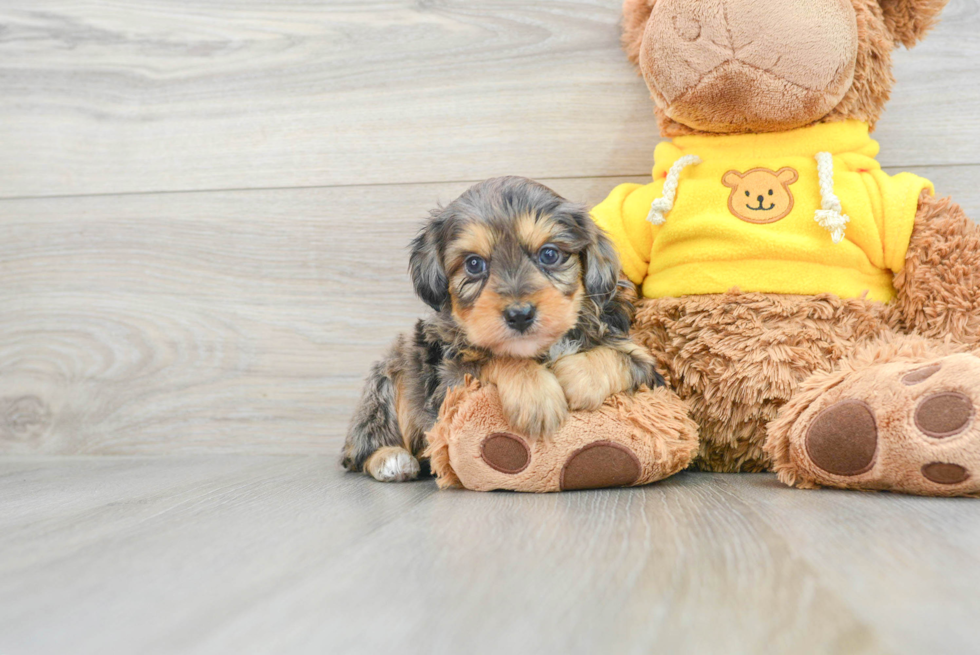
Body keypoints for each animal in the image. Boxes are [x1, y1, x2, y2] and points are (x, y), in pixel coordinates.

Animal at [340, 178, 664, 482]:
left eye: (549, 255)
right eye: (473, 264)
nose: (520, 315)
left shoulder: (647, 367)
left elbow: (617, 357)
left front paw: (574, 377)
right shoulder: (449, 380)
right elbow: (497, 357)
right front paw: (536, 395)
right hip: (391, 374)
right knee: (360, 446)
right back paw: (391, 459)